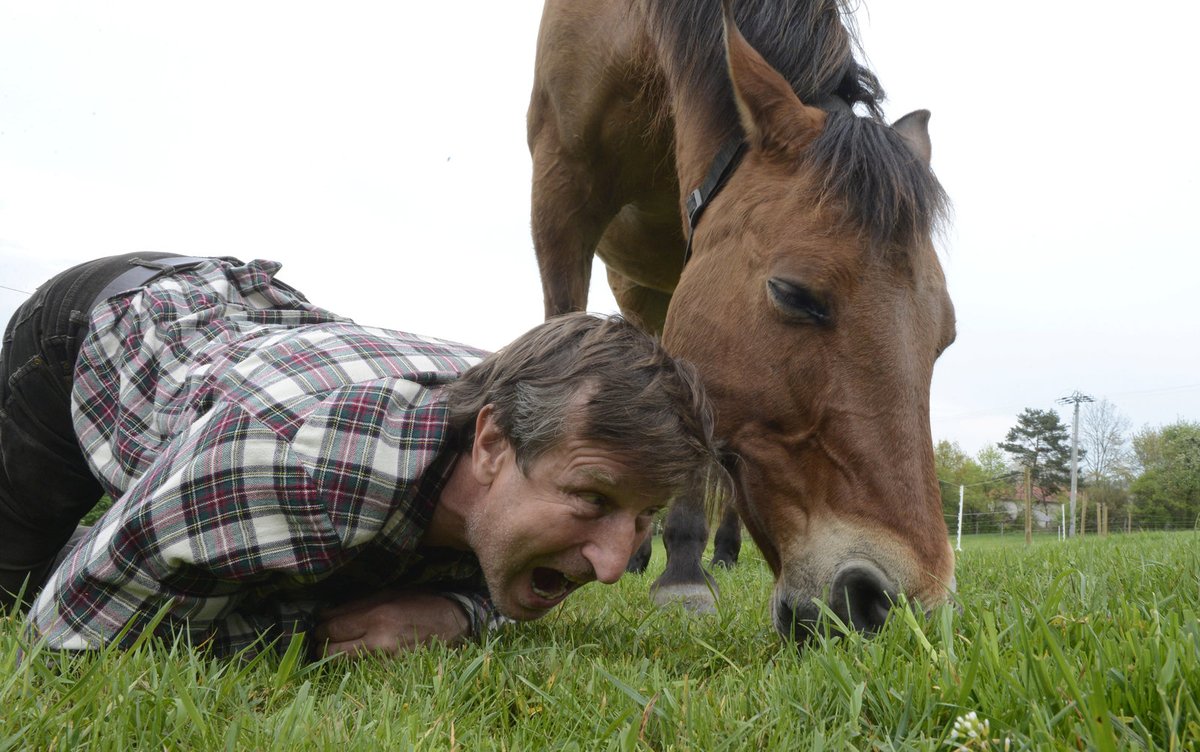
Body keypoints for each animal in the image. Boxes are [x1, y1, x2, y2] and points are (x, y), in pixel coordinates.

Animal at [525, 0, 955, 642]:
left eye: (945, 337)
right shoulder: (559, 187)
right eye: (793, 294)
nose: (893, 605)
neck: (630, 32)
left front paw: (684, 571)